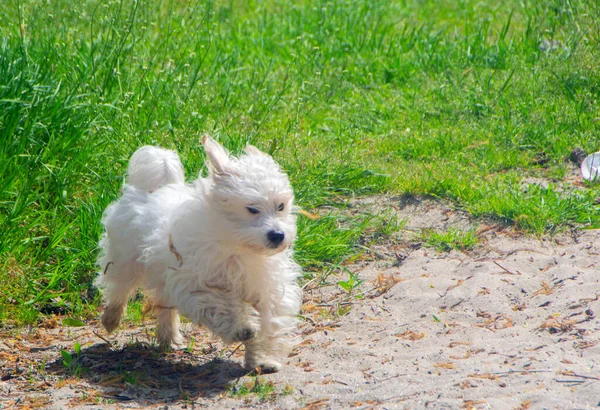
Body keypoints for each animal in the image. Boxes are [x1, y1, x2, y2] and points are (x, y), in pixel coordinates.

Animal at [99, 135, 304, 372]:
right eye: (252, 209)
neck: (238, 247)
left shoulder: (267, 290)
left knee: (164, 306)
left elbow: (270, 324)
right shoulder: (197, 284)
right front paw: (242, 327)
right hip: (124, 259)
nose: (278, 235)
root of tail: (152, 189)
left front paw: (263, 359)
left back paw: (169, 337)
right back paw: (111, 318)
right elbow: (223, 305)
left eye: (281, 206)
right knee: (119, 288)